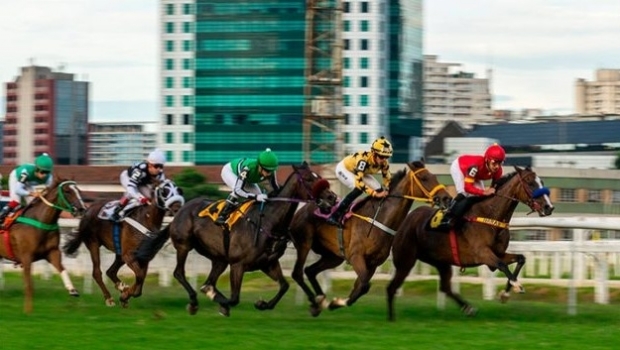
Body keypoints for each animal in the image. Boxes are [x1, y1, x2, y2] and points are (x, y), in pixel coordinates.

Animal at [0, 176, 87, 314]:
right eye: (67, 191)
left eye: (78, 190)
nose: (82, 210)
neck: (41, 221)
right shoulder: (26, 257)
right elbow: (29, 284)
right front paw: (28, 310)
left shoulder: (53, 252)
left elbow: (62, 269)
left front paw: (72, 290)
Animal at [61, 179, 185, 308]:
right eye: (164, 191)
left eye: (179, 190)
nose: (177, 208)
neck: (146, 219)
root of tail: (87, 211)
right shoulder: (129, 255)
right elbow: (139, 276)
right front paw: (125, 295)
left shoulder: (144, 257)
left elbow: (140, 279)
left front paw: (125, 294)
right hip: (93, 243)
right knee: (97, 272)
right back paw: (109, 298)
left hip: (119, 253)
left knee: (110, 271)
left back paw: (121, 287)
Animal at [137, 161, 340, 318]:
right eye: (309, 179)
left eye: (319, 176)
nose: (332, 197)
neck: (268, 221)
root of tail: (180, 211)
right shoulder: (238, 264)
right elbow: (234, 298)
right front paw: (222, 303)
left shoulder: (268, 263)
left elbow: (284, 286)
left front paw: (263, 304)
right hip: (184, 245)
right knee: (179, 273)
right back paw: (195, 301)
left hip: (219, 259)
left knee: (208, 281)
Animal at [286, 161, 450, 318]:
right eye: (424, 178)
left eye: (434, 176)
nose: (446, 198)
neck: (380, 218)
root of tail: (302, 209)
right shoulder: (356, 257)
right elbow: (364, 286)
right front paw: (334, 302)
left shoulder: (373, 264)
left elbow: (358, 288)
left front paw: (335, 303)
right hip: (304, 244)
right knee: (298, 272)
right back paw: (316, 301)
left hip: (333, 256)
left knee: (310, 270)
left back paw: (319, 302)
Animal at [388, 165, 556, 322]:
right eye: (530, 183)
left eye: (542, 182)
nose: (549, 207)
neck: (491, 215)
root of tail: (405, 219)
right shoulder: (482, 253)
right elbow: (502, 265)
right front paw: (517, 286)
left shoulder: (498, 253)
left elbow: (521, 259)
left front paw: (505, 294)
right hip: (405, 260)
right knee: (393, 286)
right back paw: (391, 318)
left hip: (440, 261)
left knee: (445, 287)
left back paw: (468, 308)